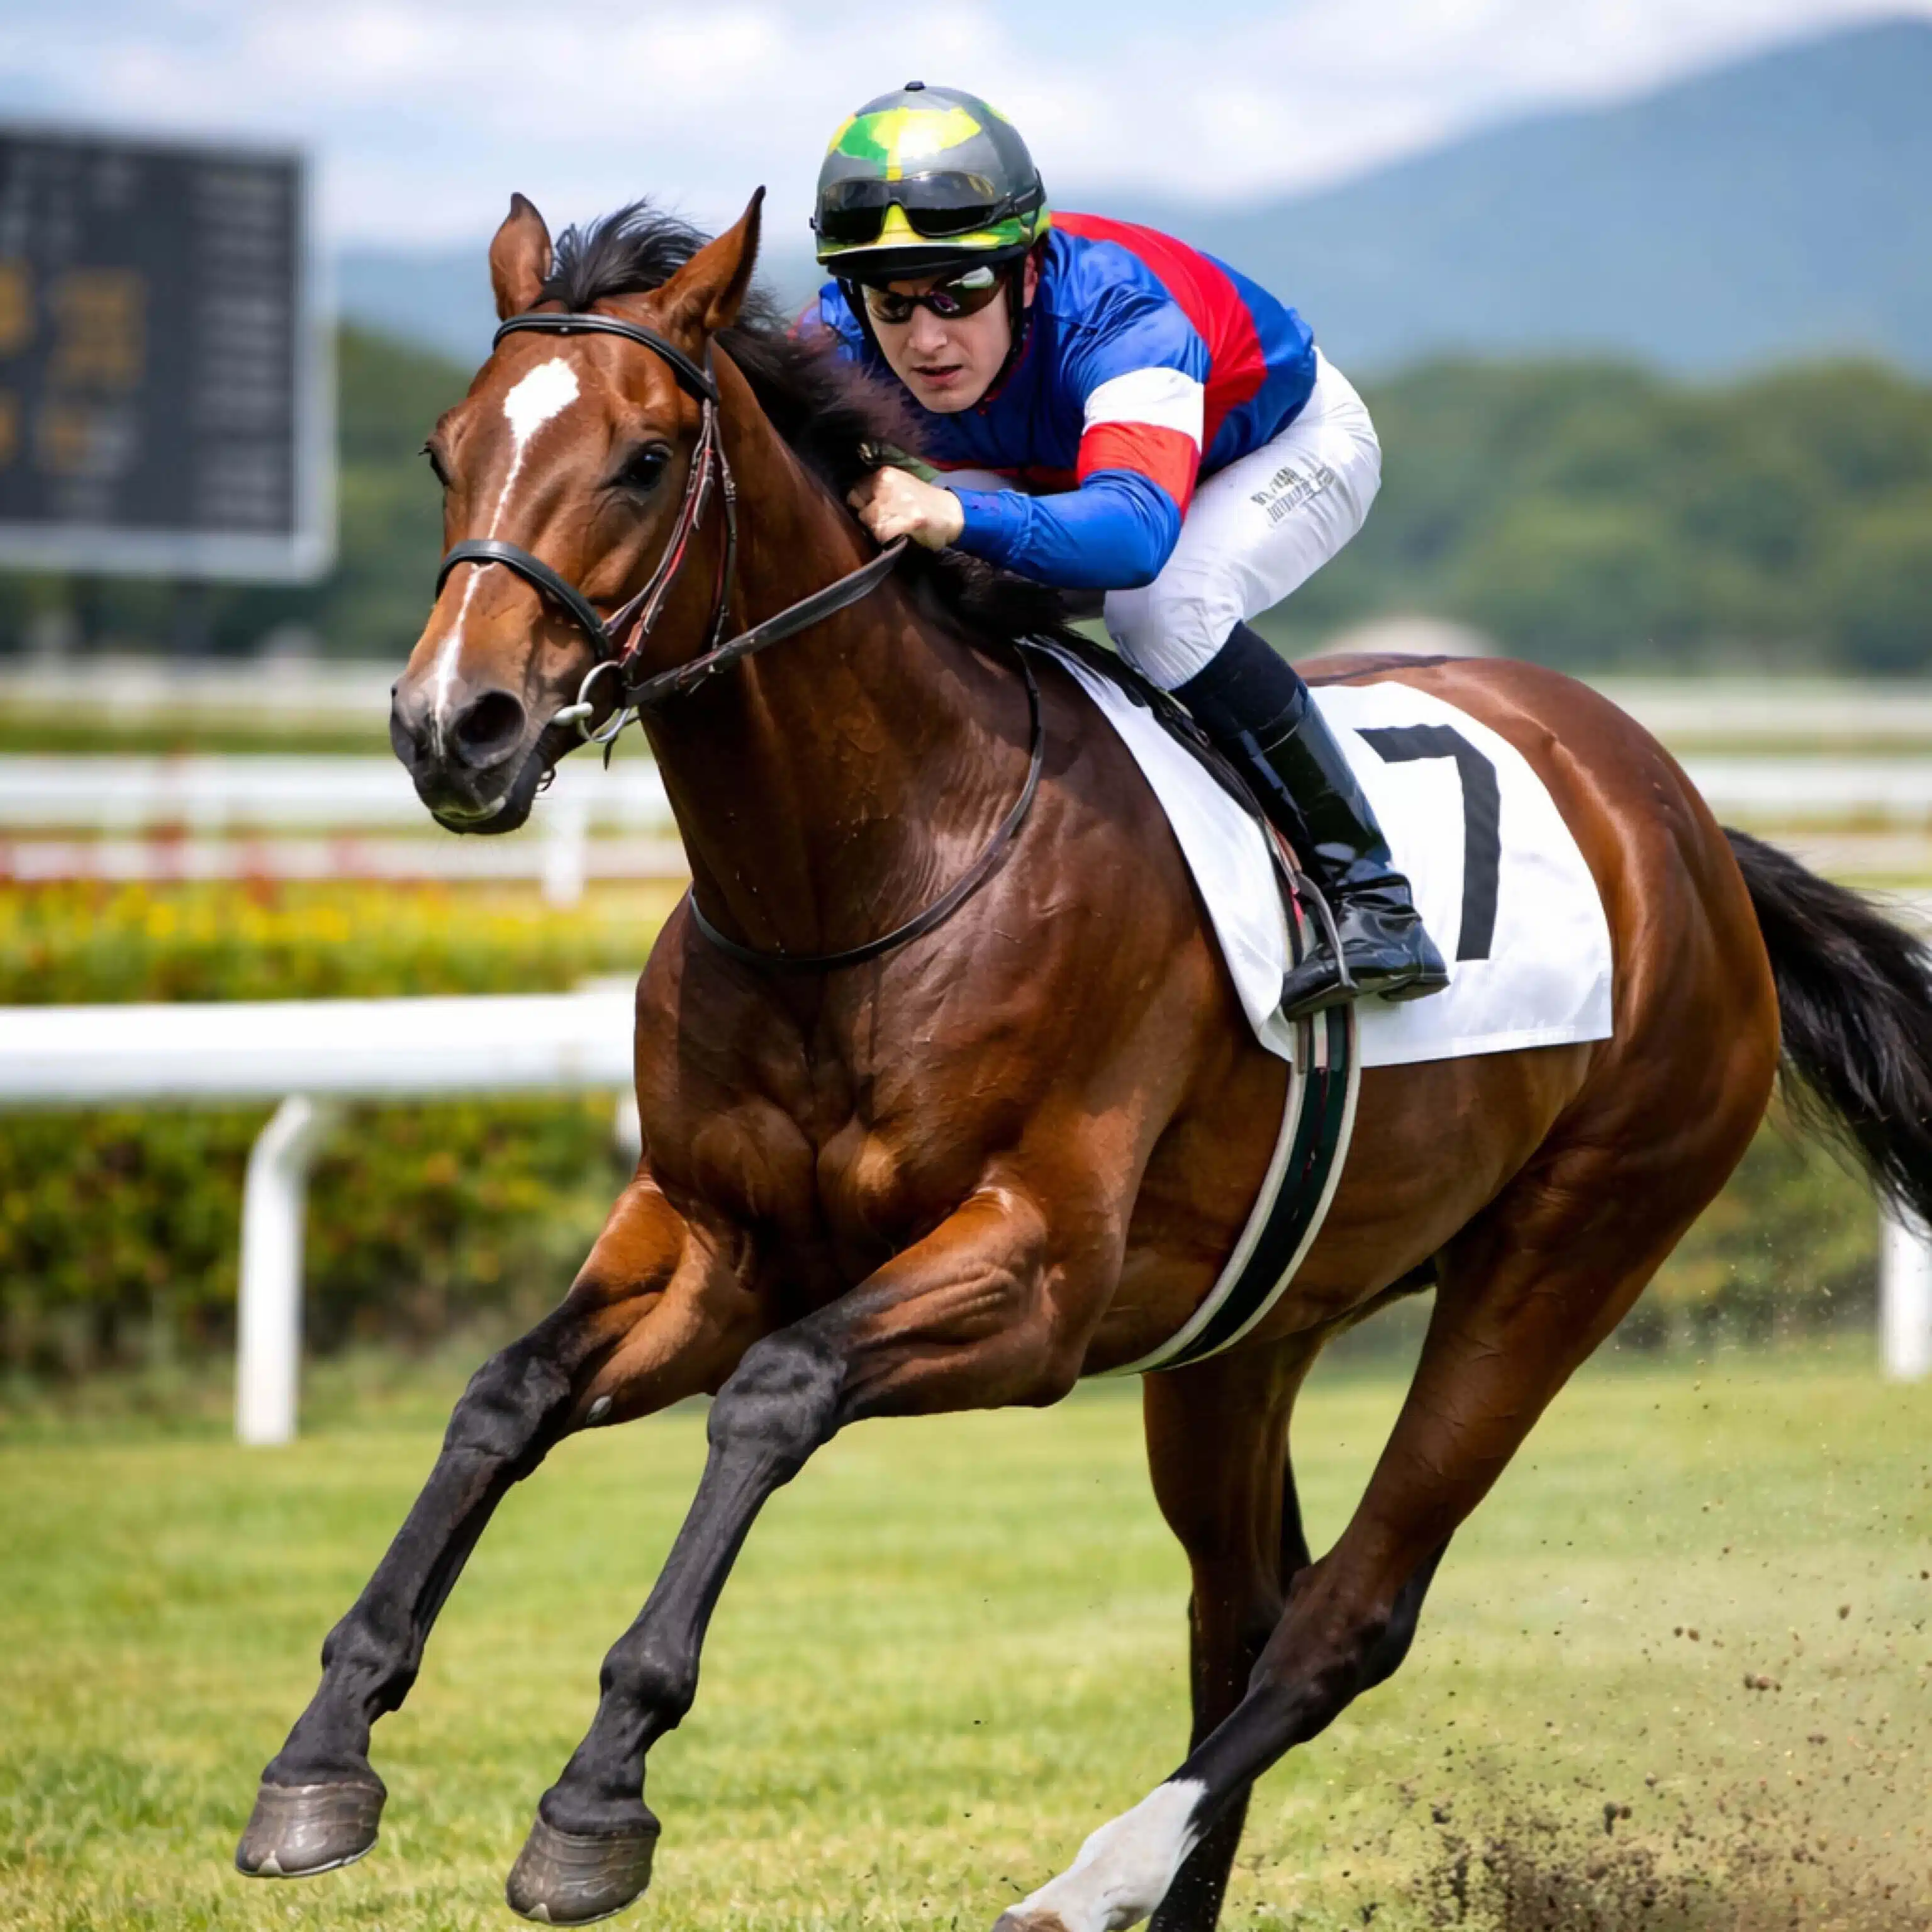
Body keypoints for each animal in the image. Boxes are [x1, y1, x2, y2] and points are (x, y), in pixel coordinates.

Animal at [235, 191, 1932, 1931]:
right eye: (444, 450)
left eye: (642, 459)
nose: (454, 725)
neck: (868, 872)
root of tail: (1688, 832)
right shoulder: (715, 1234)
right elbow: (503, 1395)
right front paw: (322, 1753)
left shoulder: (1034, 1274)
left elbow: (775, 1395)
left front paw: (597, 1792)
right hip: (1244, 1322)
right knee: (1238, 1603)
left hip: (1563, 1253)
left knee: (1346, 1612)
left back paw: (1092, 1869)